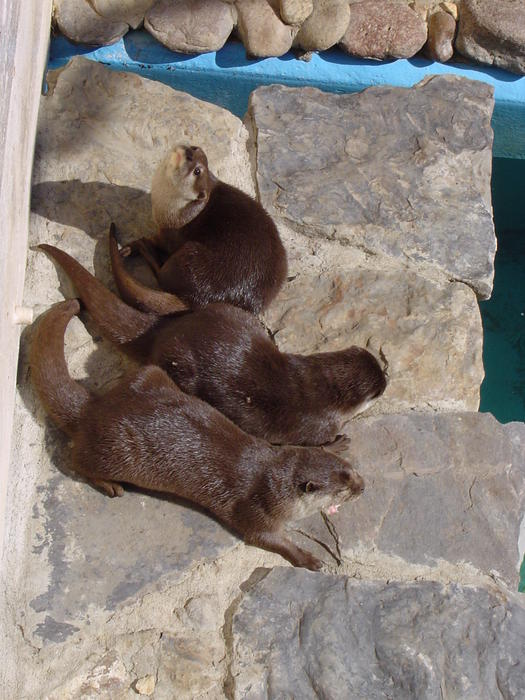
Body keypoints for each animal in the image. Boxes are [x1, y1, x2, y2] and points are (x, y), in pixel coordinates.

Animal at [29, 300, 364, 568]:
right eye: (342, 489)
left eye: (350, 471)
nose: (362, 487)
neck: (268, 481)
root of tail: (93, 409)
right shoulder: (256, 513)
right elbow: (269, 540)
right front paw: (308, 558)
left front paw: (338, 445)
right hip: (117, 450)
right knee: (77, 460)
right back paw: (110, 485)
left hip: (150, 375)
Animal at [39, 232, 386, 446]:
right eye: (380, 389)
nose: (388, 378)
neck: (318, 385)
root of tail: (163, 331)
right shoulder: (319, 425)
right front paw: (341, 443)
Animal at [117, 145, 286, 314]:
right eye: (193, 148)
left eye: (197, 171)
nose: (189, 153)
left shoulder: (170, 231)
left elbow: (160, 242)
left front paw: (136, 245)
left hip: (190, 256)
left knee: (162, 276)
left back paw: (146, 250)